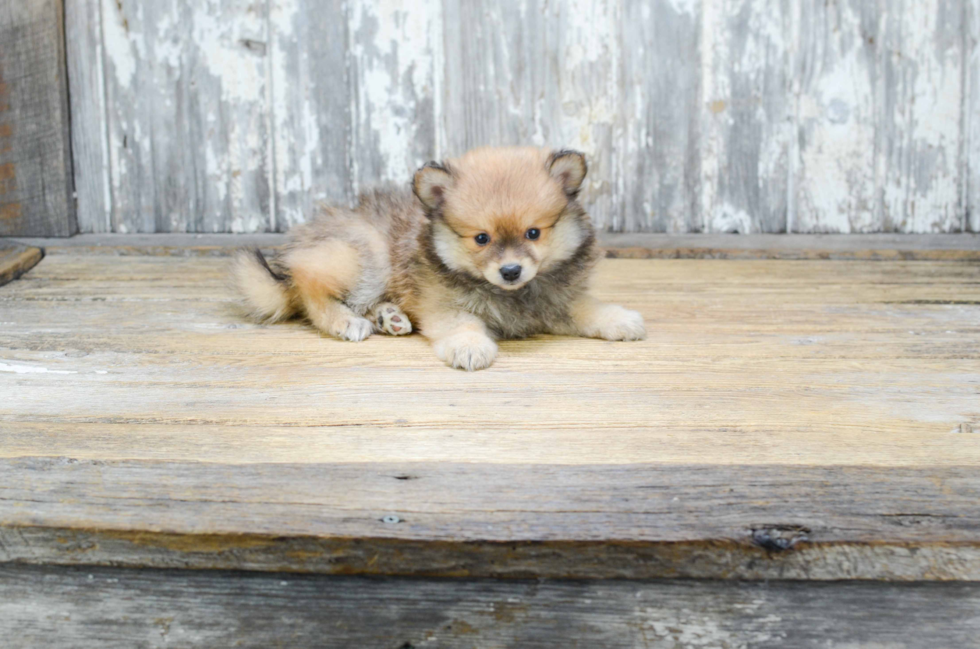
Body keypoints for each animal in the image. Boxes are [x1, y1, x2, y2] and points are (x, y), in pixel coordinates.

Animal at [233, 147, 648, 370]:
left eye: (534, 233)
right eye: (481, 238)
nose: (511, 271)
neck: (513, 295)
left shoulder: (558, 299)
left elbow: (588, 307)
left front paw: (620, 319)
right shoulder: (443, 305)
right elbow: (462, 324)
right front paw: (470, 347)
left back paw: (390, 317)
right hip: (365, 254)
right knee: (308, 289)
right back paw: (347, 321)